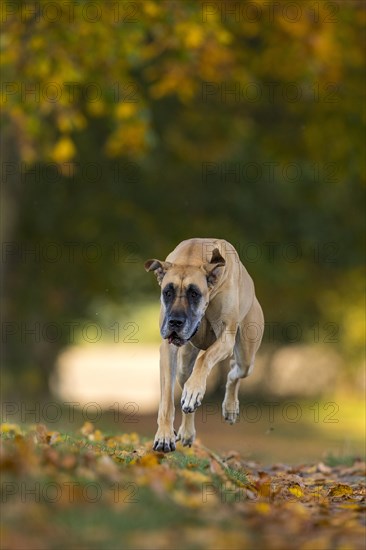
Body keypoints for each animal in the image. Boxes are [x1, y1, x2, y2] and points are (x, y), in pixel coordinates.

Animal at [144, 239, 264, 454]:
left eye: (194, 293)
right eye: (167, 292)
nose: (175, 322)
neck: (191, 258)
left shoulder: (226, 338)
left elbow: (204, 359)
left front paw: (194, 390)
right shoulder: (167, 349)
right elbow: (167, 399)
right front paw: (165, 435)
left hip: (246, 356)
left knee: (234, 371)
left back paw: (230, 407)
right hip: (183, 364)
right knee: (187, 389)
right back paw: (187, 431)